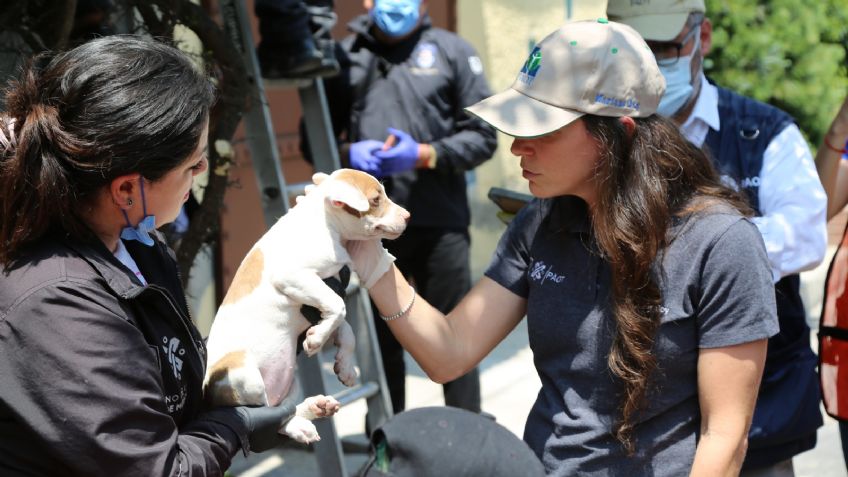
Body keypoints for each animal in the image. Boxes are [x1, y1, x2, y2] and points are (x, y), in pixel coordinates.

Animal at [202, 168, 408, 442]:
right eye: (376, 200)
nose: (408, 216)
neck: (326, 225)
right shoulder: (295, 276)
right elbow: (338, 306)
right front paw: (317, 340)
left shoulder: (327, 289)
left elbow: (346, 328)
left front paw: (345, 366)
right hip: (243, 376)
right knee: (269, 416)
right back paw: (300, 423)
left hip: (291, 377)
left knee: (285, 408)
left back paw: (314, 408)